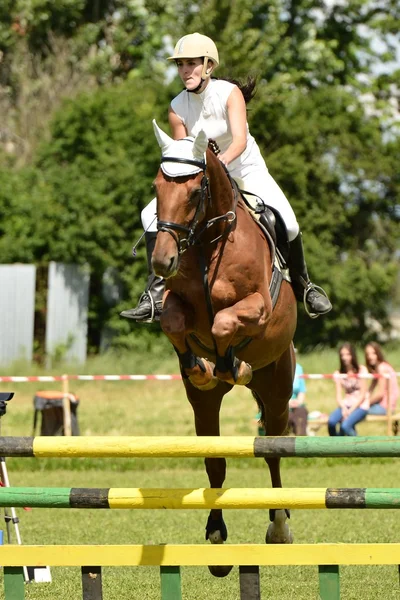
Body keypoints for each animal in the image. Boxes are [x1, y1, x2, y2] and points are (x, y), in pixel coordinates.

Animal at [150, 118, 296, 576]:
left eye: (195, 192)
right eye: (157, 187)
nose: (161, 262)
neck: (207, 244)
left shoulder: (258, 307)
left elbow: (225, 320)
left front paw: (233, 362)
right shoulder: (176, 304)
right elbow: (175, 320)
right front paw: (199, 365)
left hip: (278, 388)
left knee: (272, 451)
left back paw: (279, 527)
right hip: (204, 407)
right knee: (214, 461)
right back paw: (216, 536)